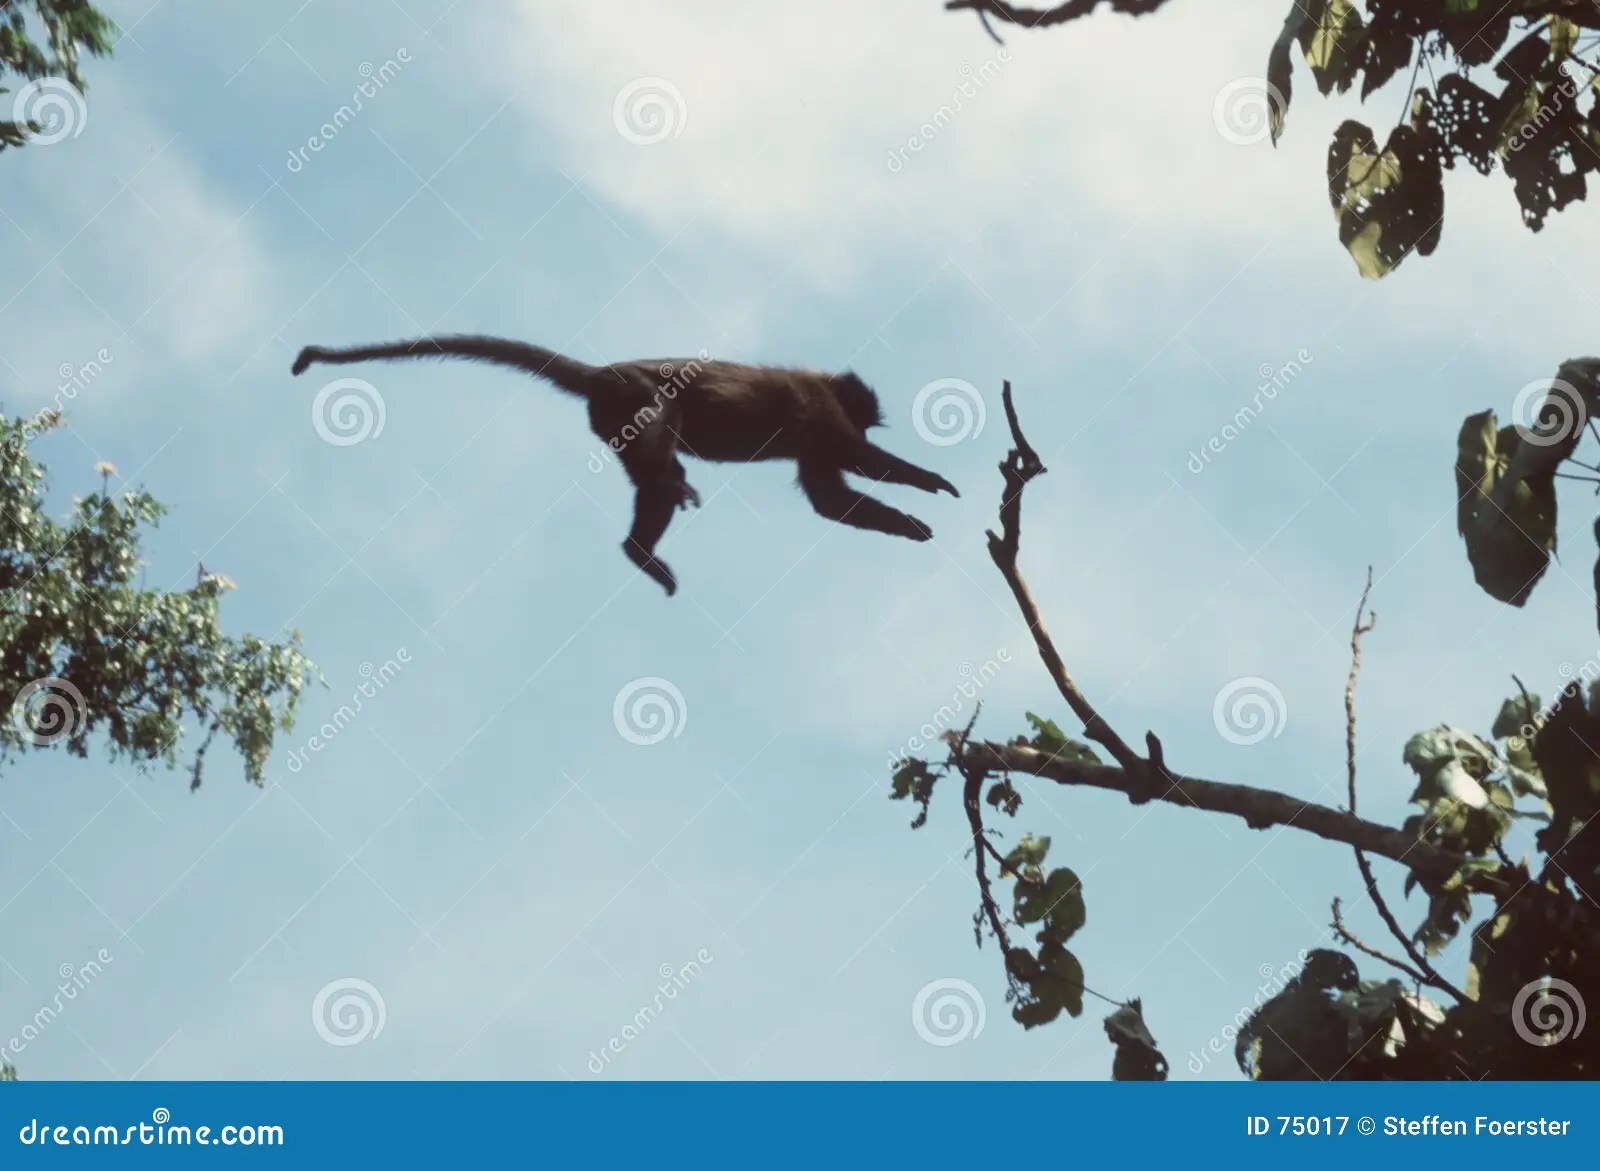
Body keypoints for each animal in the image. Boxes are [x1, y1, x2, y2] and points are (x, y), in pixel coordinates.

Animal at [291, 335, 959, 596]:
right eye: (866, 419)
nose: (867, 423)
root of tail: (602, 374)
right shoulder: (820, 409)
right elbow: (852, 460)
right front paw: (931, 485)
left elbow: (827, 495)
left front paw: (907, 524)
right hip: (635, 402)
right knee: (662, 453)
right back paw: (655, 519)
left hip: (613, 420)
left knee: (652, 481)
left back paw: (638, 549)